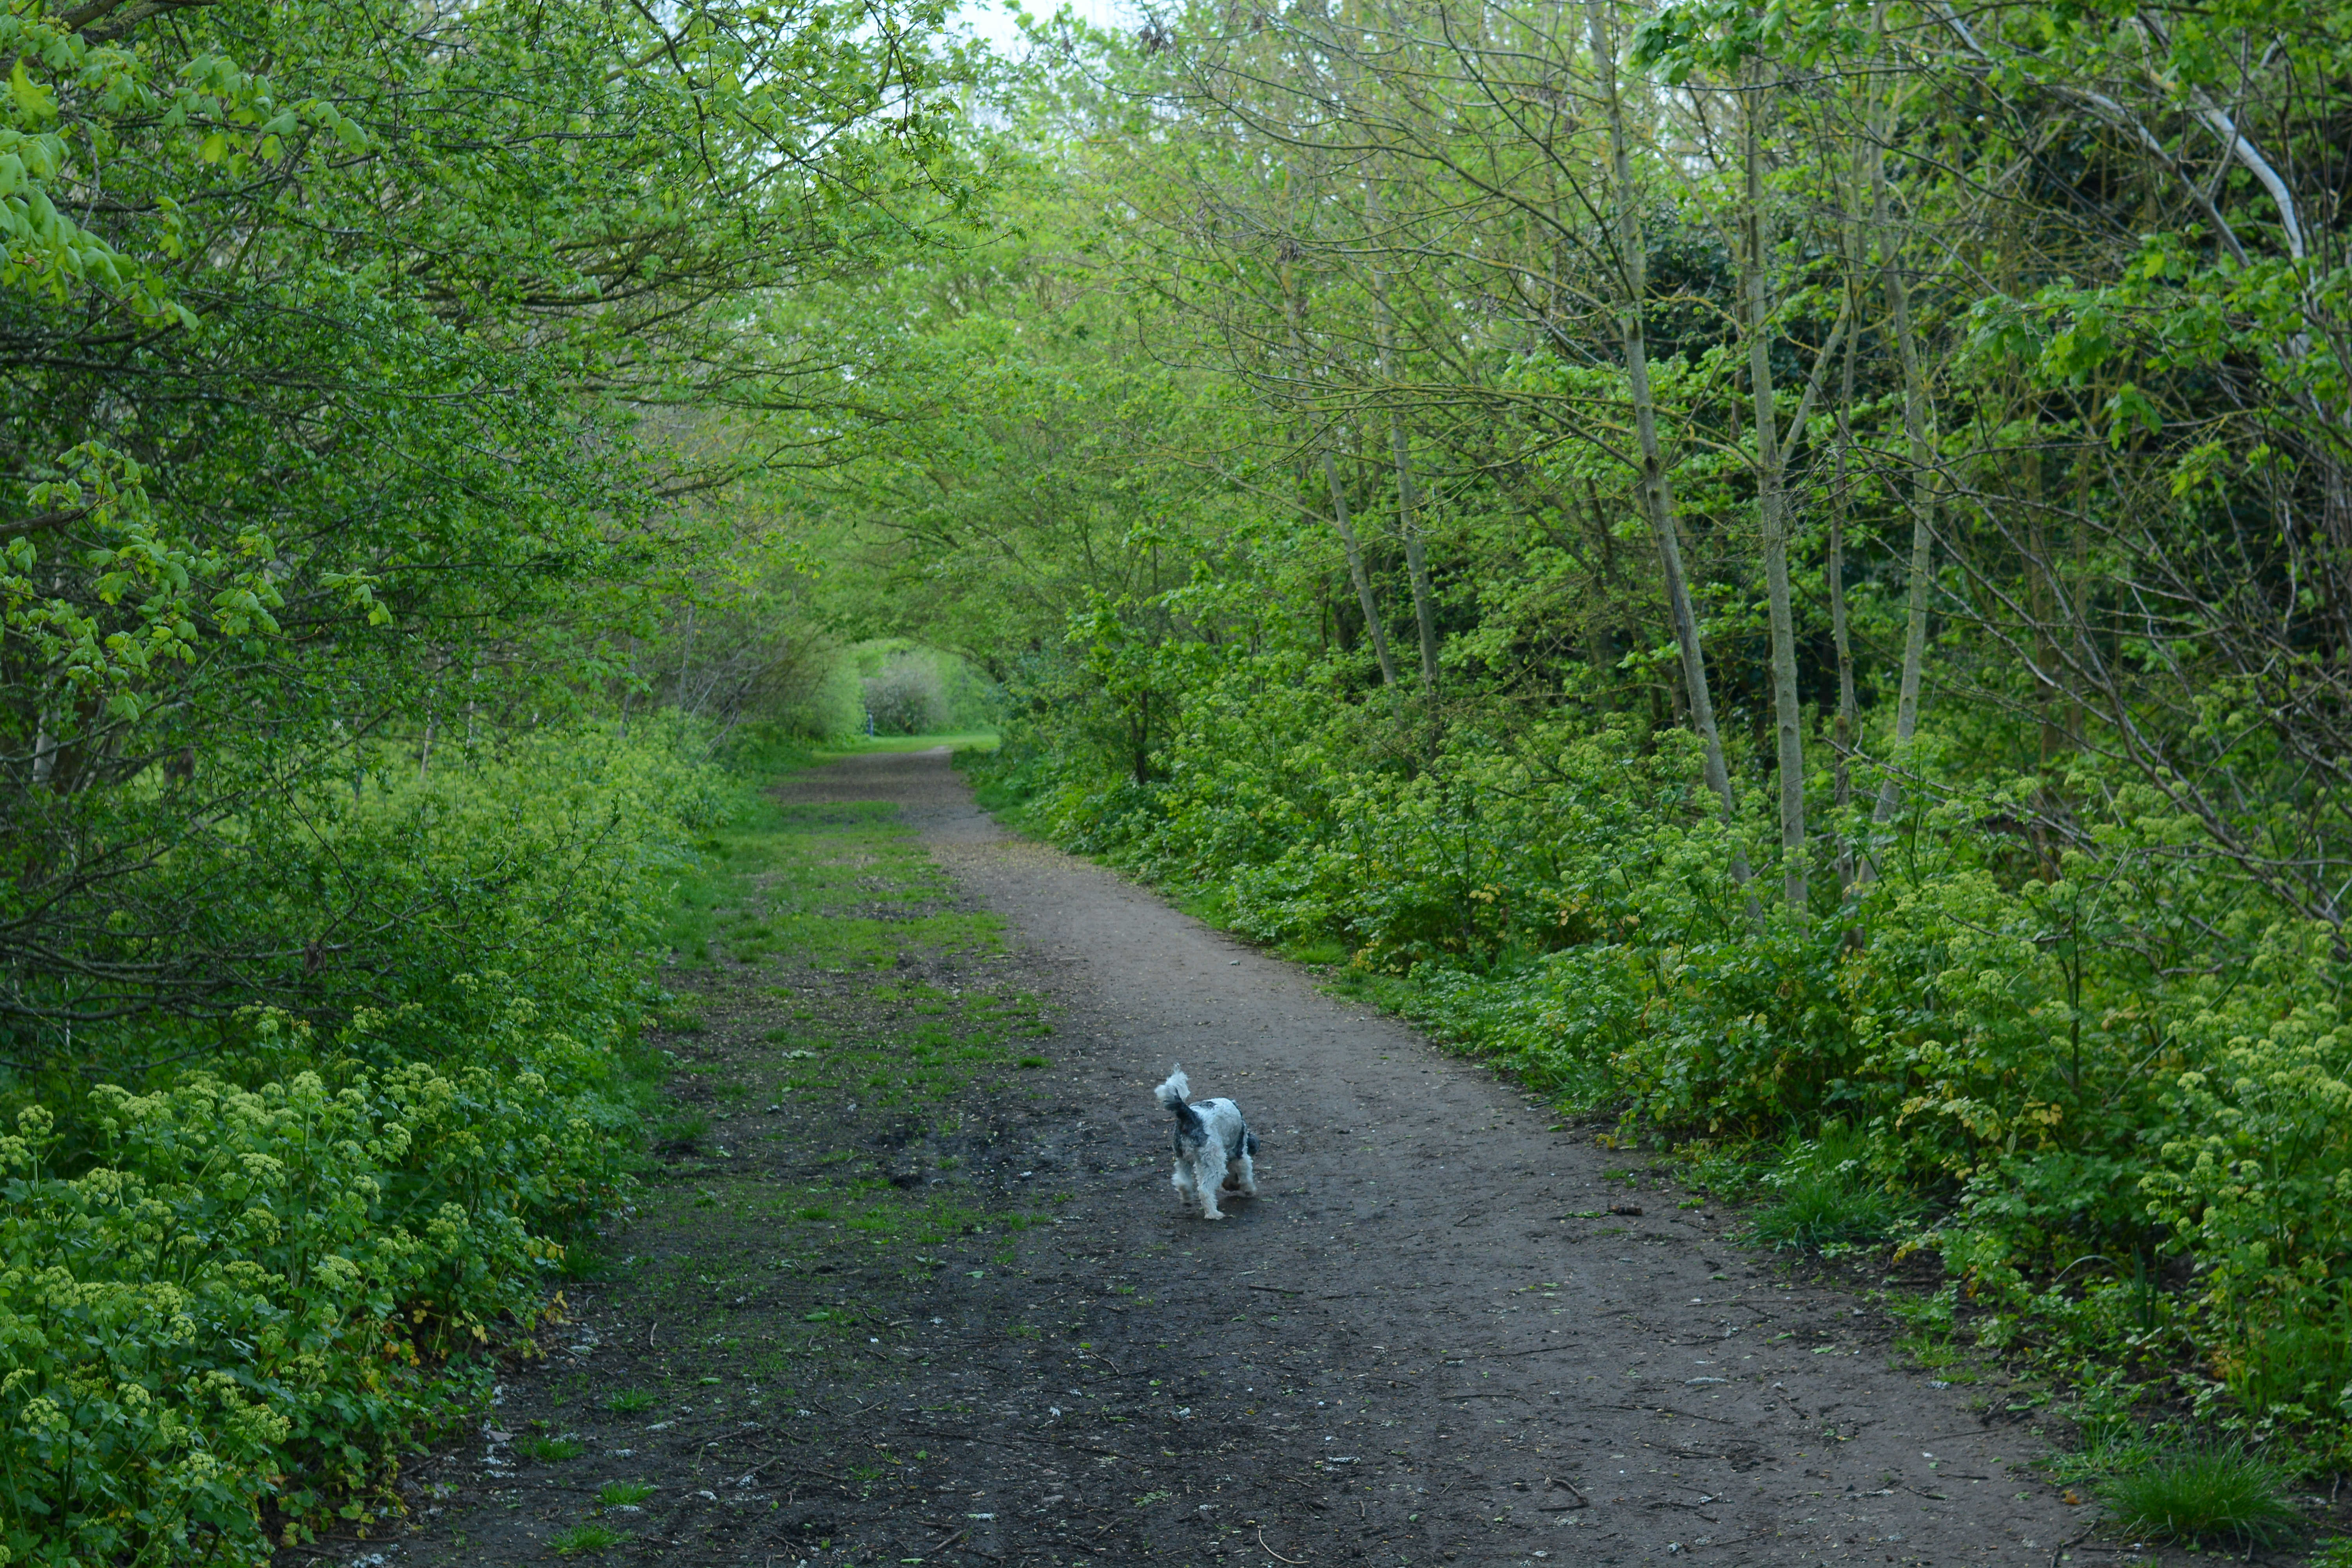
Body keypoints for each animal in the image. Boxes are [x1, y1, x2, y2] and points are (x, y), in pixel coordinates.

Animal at [1154, 1064, 1258, 1220]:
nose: (1231, 1187)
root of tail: (1191, 1115)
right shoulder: (1240, 1153)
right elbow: (1246, 1173)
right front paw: (1249, 1190)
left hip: (1183, 1159)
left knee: (1182, 1182)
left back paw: (1187, 1200)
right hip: (1213, 1164)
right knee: (1205, 1189)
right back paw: (1213, 1214)